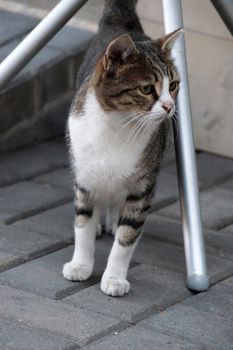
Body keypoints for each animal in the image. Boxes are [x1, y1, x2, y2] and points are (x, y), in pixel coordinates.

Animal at [62, 0, 181, 296]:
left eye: (173, 85)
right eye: (147, 89)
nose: (169, 106)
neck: (117, 126)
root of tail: (122, 21)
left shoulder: (143, 187)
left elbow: (127, 238)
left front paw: (114, 278)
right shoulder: (85, 176)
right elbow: (82, 223)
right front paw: (80, 264)